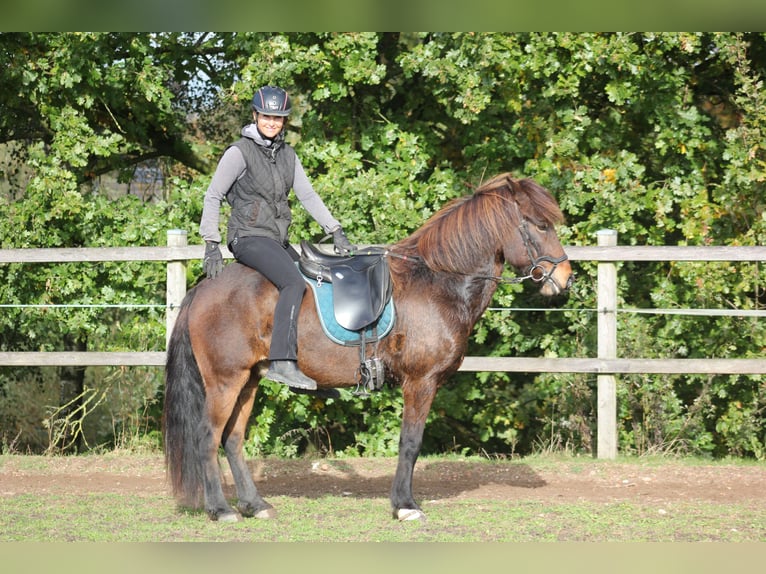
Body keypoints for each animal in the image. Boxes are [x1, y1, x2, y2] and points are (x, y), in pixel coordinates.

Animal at [164, 173, 568, 524]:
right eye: (540, 225)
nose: (565, 278)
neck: (437, 282)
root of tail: (205, 287)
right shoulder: (420, 382)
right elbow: (410, 442)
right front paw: (405, 505)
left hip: (249, 379)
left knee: (232, 439)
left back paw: (254, 505)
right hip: (224, 380)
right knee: (207, 437)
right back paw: (221, 509)